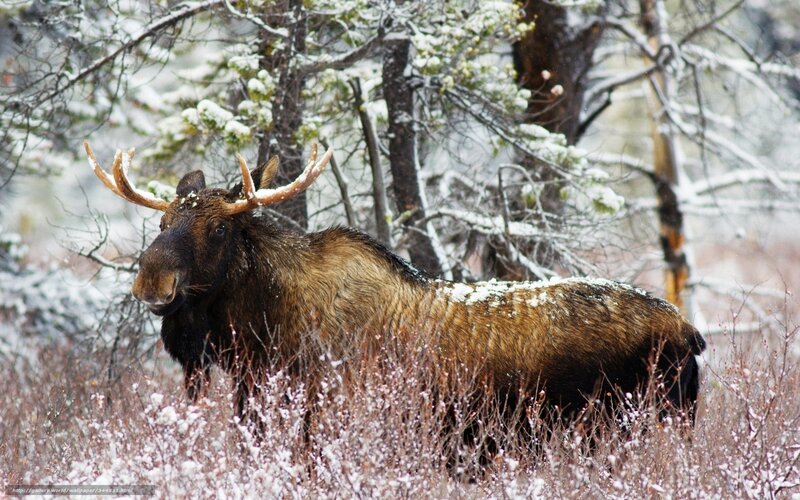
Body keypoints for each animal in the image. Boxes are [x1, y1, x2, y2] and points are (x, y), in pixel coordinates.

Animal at [84, 141, 706, 438]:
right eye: (162, 224)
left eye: (218, 228)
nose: (152, 280)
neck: (256, 335)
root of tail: (691, 333)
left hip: (639, 425)